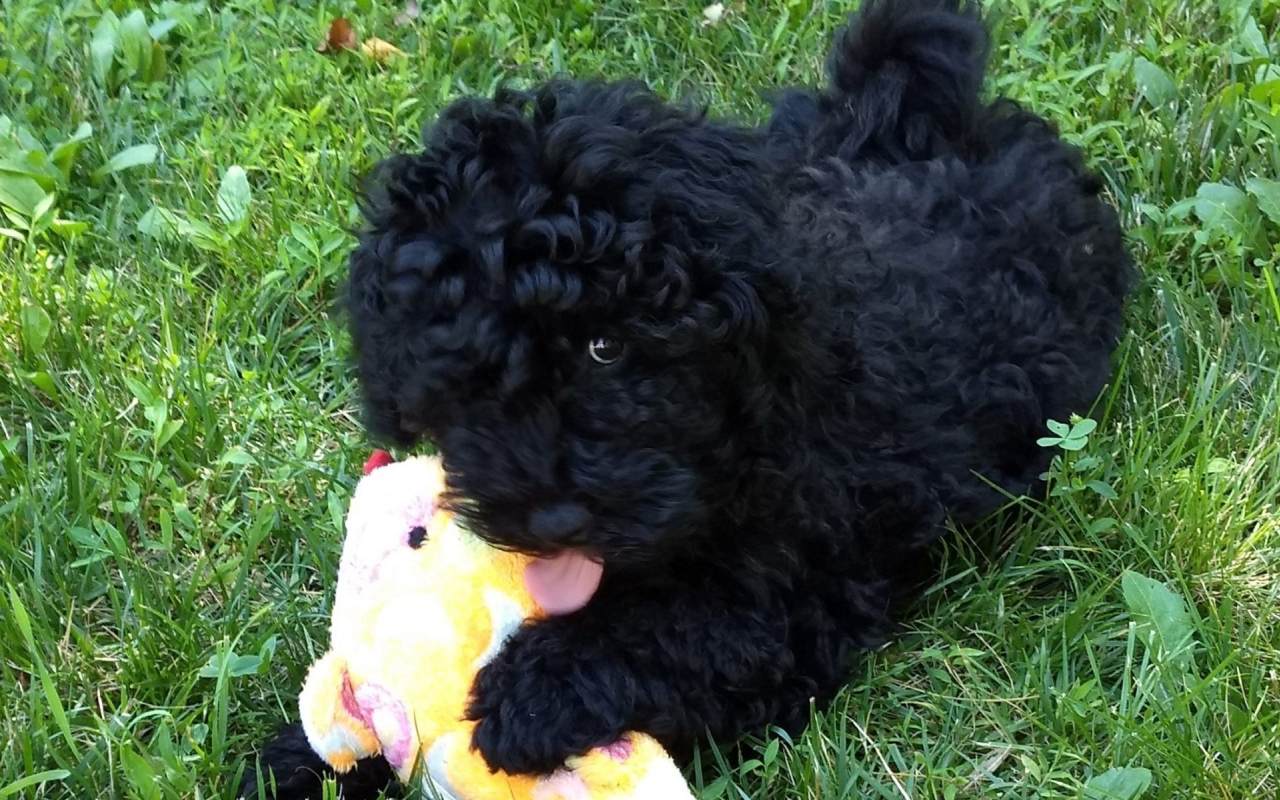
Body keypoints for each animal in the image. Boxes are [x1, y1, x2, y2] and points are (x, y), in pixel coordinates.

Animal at [241, 3, 1131, 793]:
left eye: (608, 346)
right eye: (467, 370)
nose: (554, 518)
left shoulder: (801, 597)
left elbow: (684, 630)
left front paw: (537, 691)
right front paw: (302, 760)